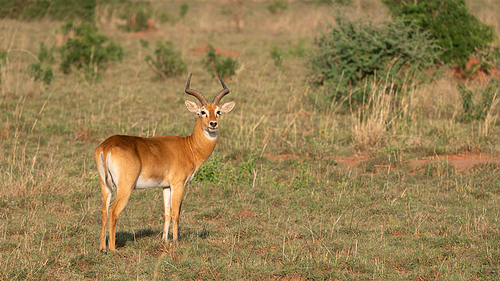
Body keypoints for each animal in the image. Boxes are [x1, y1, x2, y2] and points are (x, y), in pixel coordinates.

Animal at [94, 73, 236, 250]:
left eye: (218, 111)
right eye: (202, 111)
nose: (213, 124)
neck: (189, 147)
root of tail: (107, 146)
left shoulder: (166, 187)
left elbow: (167, 212)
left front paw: (164, 240)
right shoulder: (178, 184)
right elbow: (176, 213)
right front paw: (176, 242)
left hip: (106, 186)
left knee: (103, 212)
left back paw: (102, 248)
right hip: (125, 187)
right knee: (113, 212)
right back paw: (112, 249)